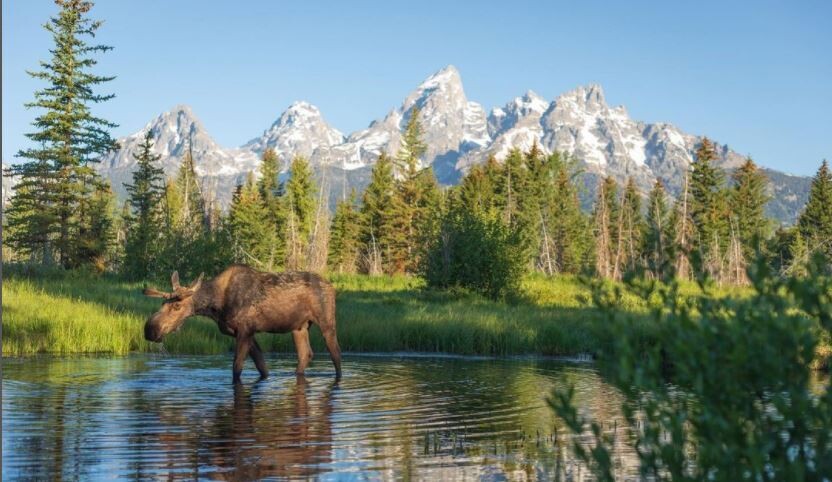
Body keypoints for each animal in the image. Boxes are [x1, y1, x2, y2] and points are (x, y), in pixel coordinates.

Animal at [143, 265, 341, 383]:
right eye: (162, 303)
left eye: (177, 306)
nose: (150, 330)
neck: (216, 306)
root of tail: (332, 286)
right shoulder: (245, 333)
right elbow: (262, 367)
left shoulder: (245, 331)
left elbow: (236, 368)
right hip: (299, 327)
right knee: (305, 354)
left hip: (327, 322)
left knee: (336, 354)